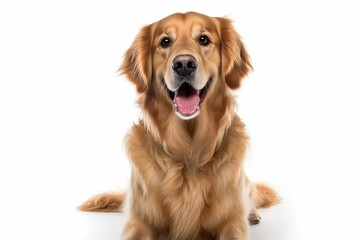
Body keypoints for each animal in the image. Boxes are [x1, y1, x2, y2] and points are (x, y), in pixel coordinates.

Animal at [80, 11, 280, 240]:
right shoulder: (139, 221)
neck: (188, 151)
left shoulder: (232, 221)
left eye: (204, 39)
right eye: (165, 41)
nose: (184, 64)